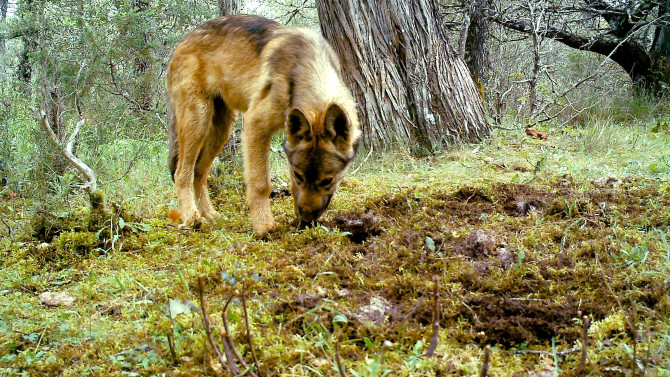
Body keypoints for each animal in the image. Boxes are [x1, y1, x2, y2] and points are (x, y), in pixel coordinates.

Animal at [168, 16, 362, 236]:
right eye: (299, 176)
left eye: (327, 181)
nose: (306, 220)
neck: (307, 68)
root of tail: (183, 41)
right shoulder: (255, 124)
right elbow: (261, 183)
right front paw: (264, 227)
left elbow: (292, 190)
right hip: (198, 121)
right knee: (182, 173)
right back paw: (191, 218)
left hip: (222, 129)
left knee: (199, 173)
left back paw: (209, 214)